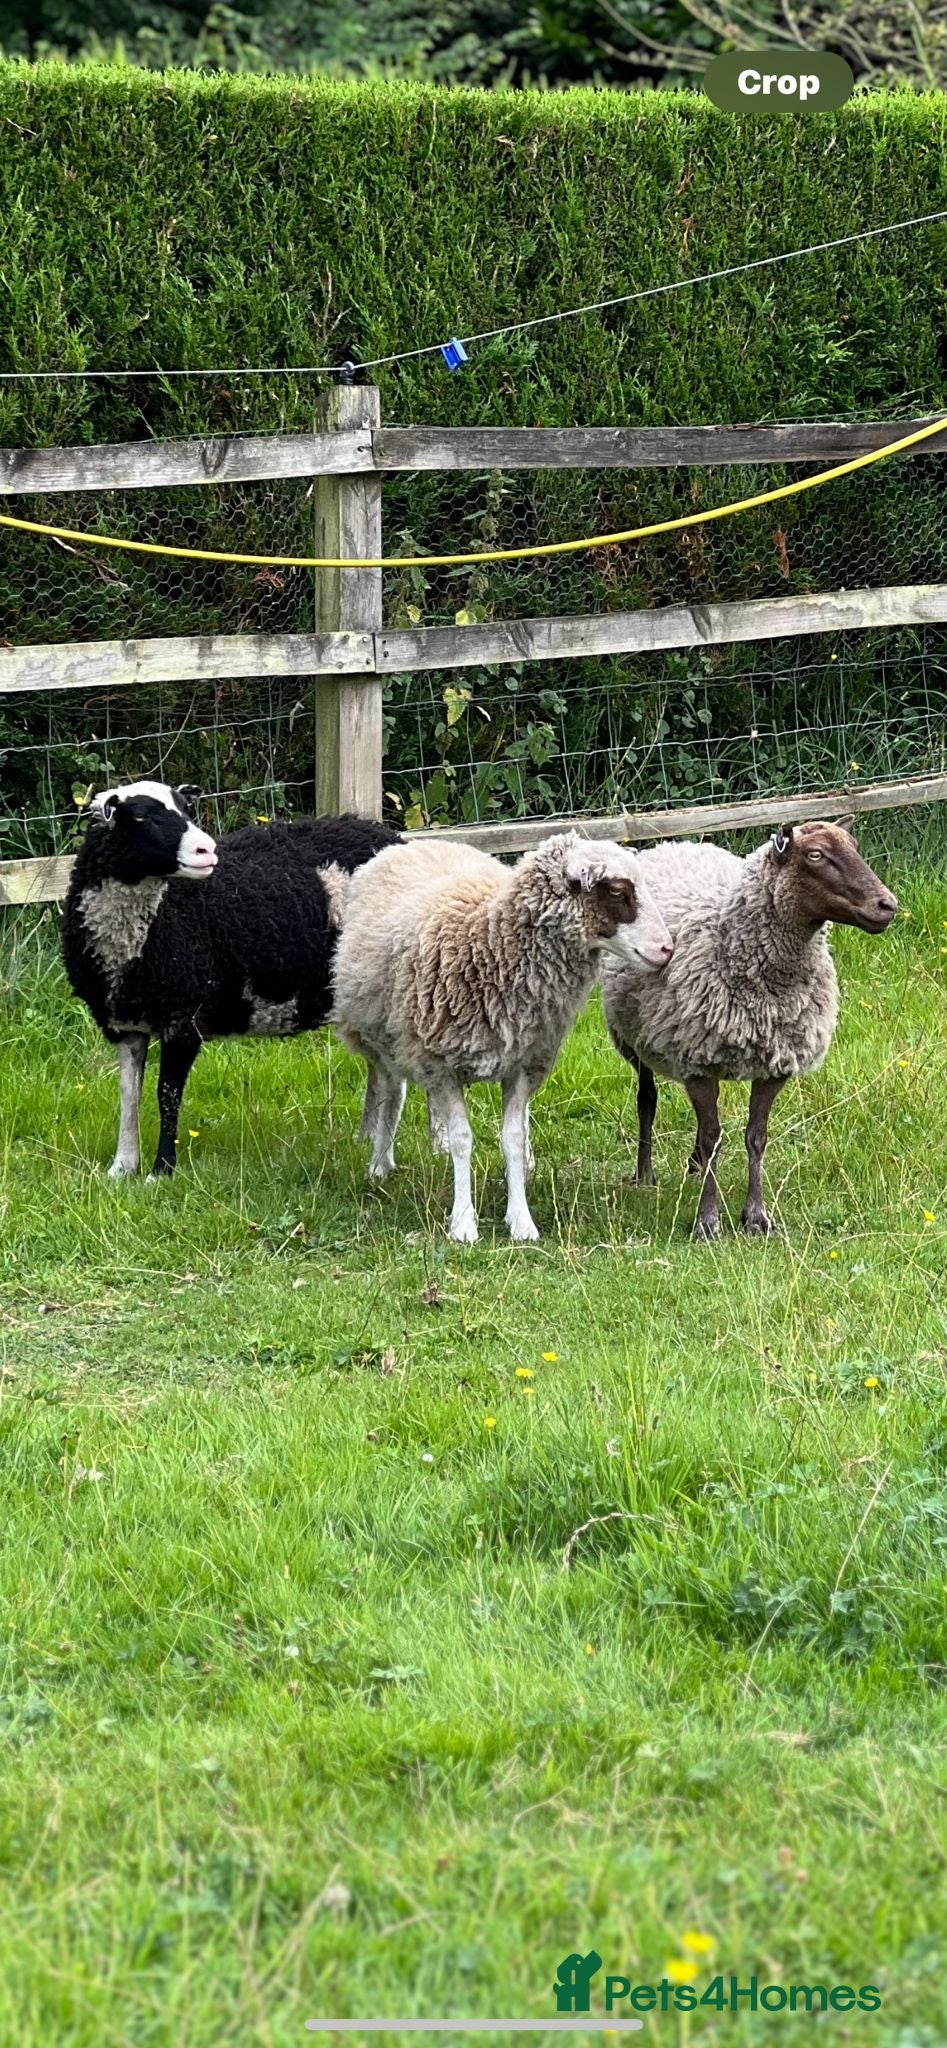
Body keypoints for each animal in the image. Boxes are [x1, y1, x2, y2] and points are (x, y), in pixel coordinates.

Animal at [61, 780, 400, 1179]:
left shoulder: (185, 1018)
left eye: (186, 810)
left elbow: (166, 1094)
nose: (206, 850)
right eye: (142, 817)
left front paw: (161, 1170)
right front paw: (122, 1167)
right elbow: (129, 1093)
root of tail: (389, 836)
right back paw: (367, 1135)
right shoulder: (124, 1025)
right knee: (379, 1068)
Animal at [331, 830, 674, 1243]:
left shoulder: (525, 1063)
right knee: (390, 1091)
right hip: (379, 1034)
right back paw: (380, 1163)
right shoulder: (440, 1064)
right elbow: (462, 1140)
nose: (667, 949)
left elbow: (510, 1138)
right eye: (619, 891)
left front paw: (521, 1220)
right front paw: (463, 1223)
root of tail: (415, 843)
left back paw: (524, 1161)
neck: (489, 945)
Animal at [600, 820, 898, 1241]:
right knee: (648, 1099)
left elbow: (755, 1137)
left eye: (854, 846)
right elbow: (712, 1138)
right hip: (634, 1038)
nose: (888, 905)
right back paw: (645, 1174)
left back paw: (693, 1166)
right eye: (816, 855)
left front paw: (756, 1217)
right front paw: (707, 1221)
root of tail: (678, 843)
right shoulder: (697, 1061)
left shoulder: (775, 1063)